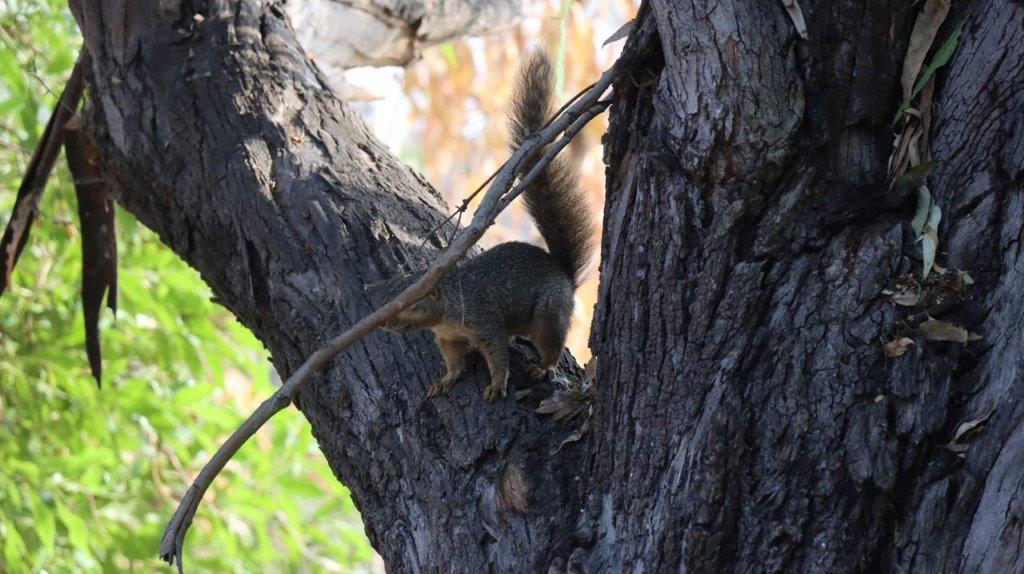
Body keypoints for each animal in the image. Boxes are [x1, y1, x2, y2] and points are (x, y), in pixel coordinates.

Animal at [382, 52, 593, 403]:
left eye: (411, 302)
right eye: (394, 293)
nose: (384, 324)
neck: (449, 308)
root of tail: (567, 277)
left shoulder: (485, 322)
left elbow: (497, 356)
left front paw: (496, 384)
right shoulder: (447, 338)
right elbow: (454, 362)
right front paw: (445, 380)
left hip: (548, 314)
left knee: (551, 344)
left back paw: (543, 367)